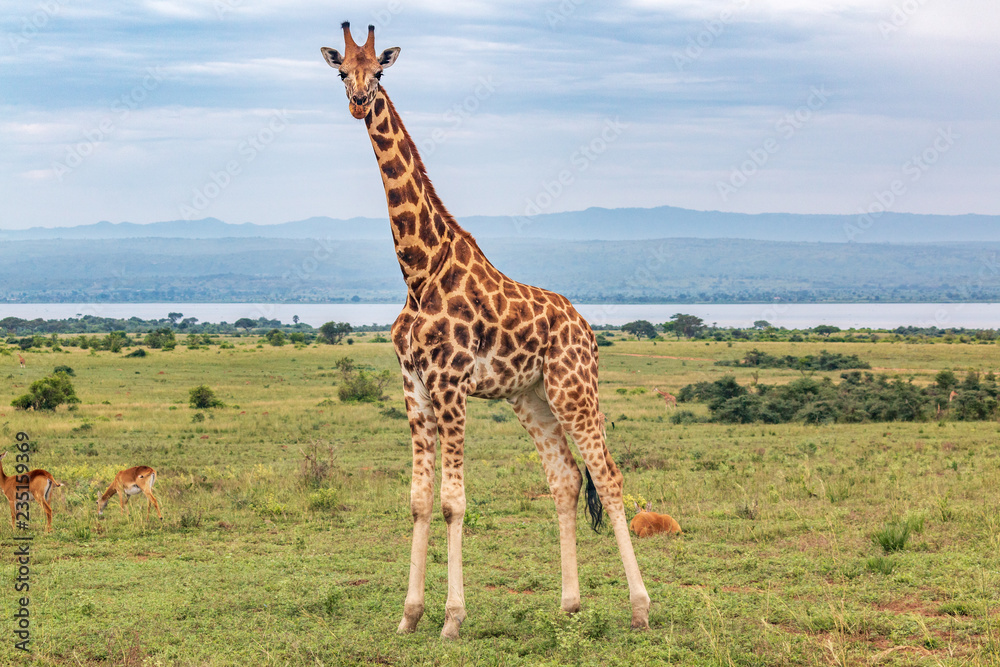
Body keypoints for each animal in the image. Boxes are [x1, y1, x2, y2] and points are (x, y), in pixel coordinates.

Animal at [321, 23, 650, 639]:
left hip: (574, 389)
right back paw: (569, 605)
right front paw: (409, 615)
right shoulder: (414, 388)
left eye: (380, 70)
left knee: (609, 475)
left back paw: (641, 607)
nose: (358, 101)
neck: (418, 270)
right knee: (566, 479)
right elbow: (420, 500)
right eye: (341, 71)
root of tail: (589, 330)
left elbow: (454, 501)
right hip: (532, 397)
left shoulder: (451, 386)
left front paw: (452, 619)